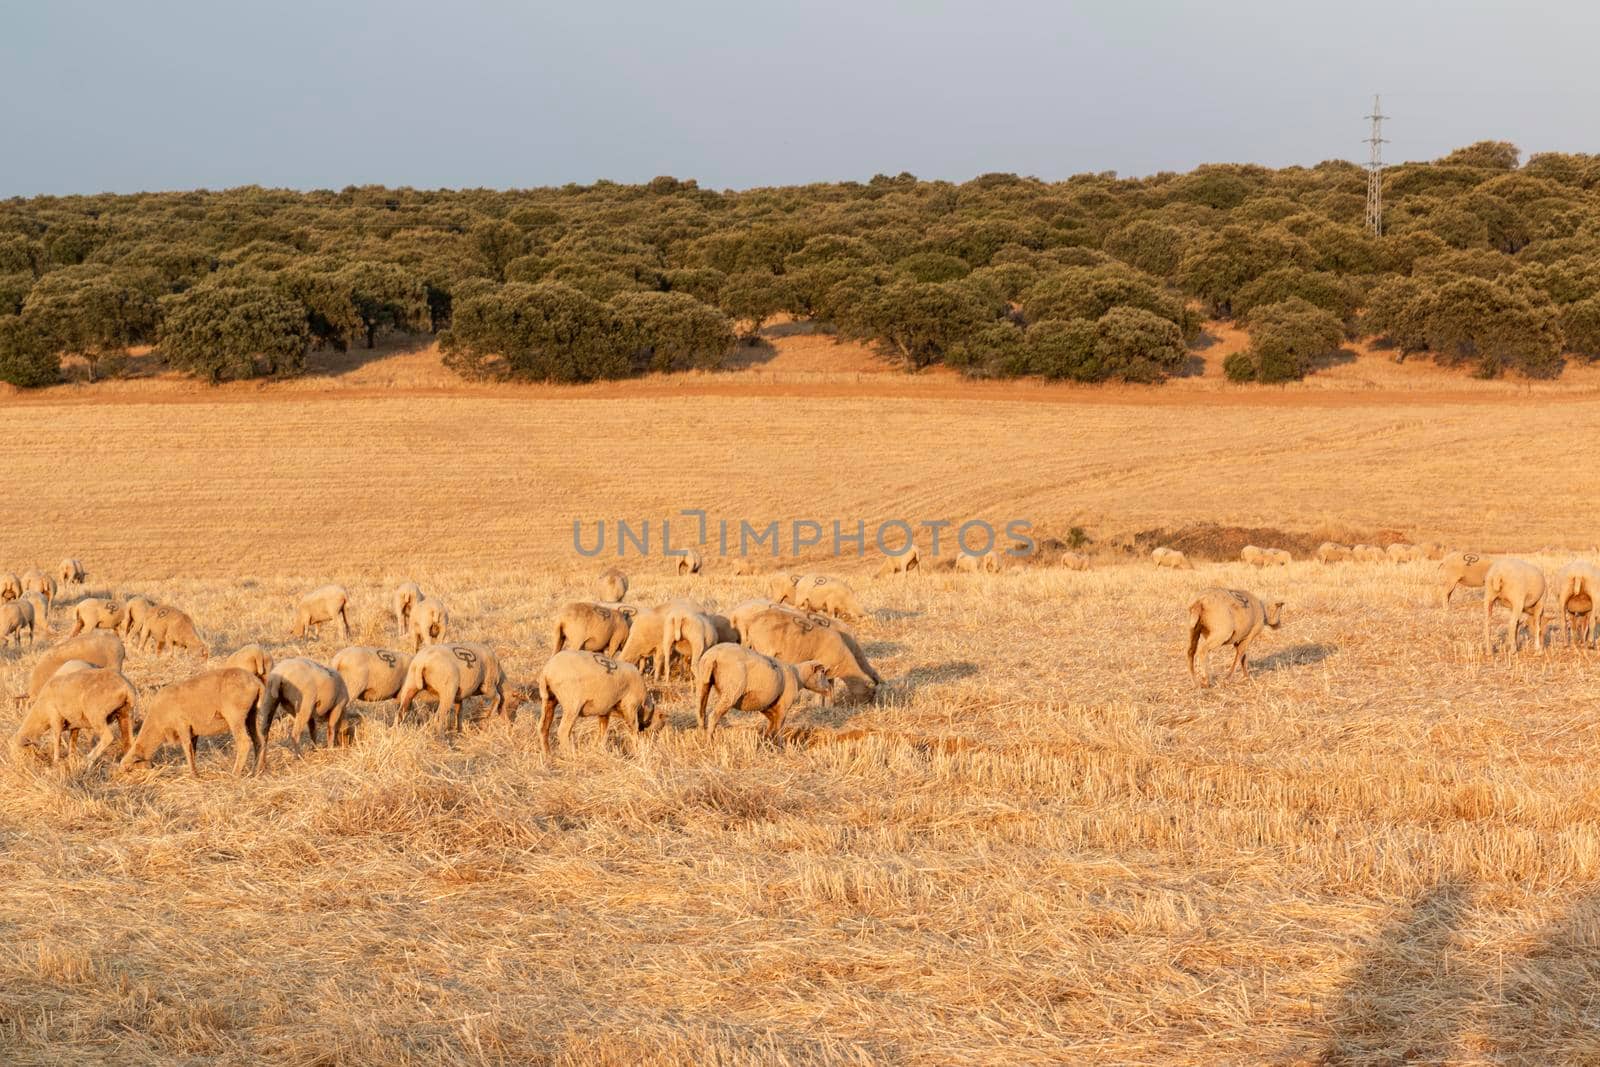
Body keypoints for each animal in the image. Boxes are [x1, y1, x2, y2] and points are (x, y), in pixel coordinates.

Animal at [118, 668, 265, 777]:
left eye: (129, 769)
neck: (157, 724)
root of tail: (257, 683)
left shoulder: (182, 725)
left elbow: (187, 749)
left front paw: (194, 775)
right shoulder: (194, 732)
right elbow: (192, 750)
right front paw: (195, 772)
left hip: (235, 716)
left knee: (244, 742)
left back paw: (234, 774)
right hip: (251, 714)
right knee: (259, 740)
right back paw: (256, 772)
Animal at [694, 646, 832, 739]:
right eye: (822, 672)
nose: (829, 690)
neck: (798, 677)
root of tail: (713, 656)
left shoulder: (766, 705)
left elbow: (772, 725)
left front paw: (766, 742)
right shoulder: (784, 706)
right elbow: (779, 727)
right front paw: (779, 746)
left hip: (703, 683)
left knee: (701, 713)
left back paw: (701, 737)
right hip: (731, 691)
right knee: (713, 716)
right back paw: (710, 740)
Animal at [739, 604, 883, 703]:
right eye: (872, 693)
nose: (868, 705)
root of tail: (751, 623)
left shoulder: (830, 671)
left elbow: (830, 688)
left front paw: (829, 705)